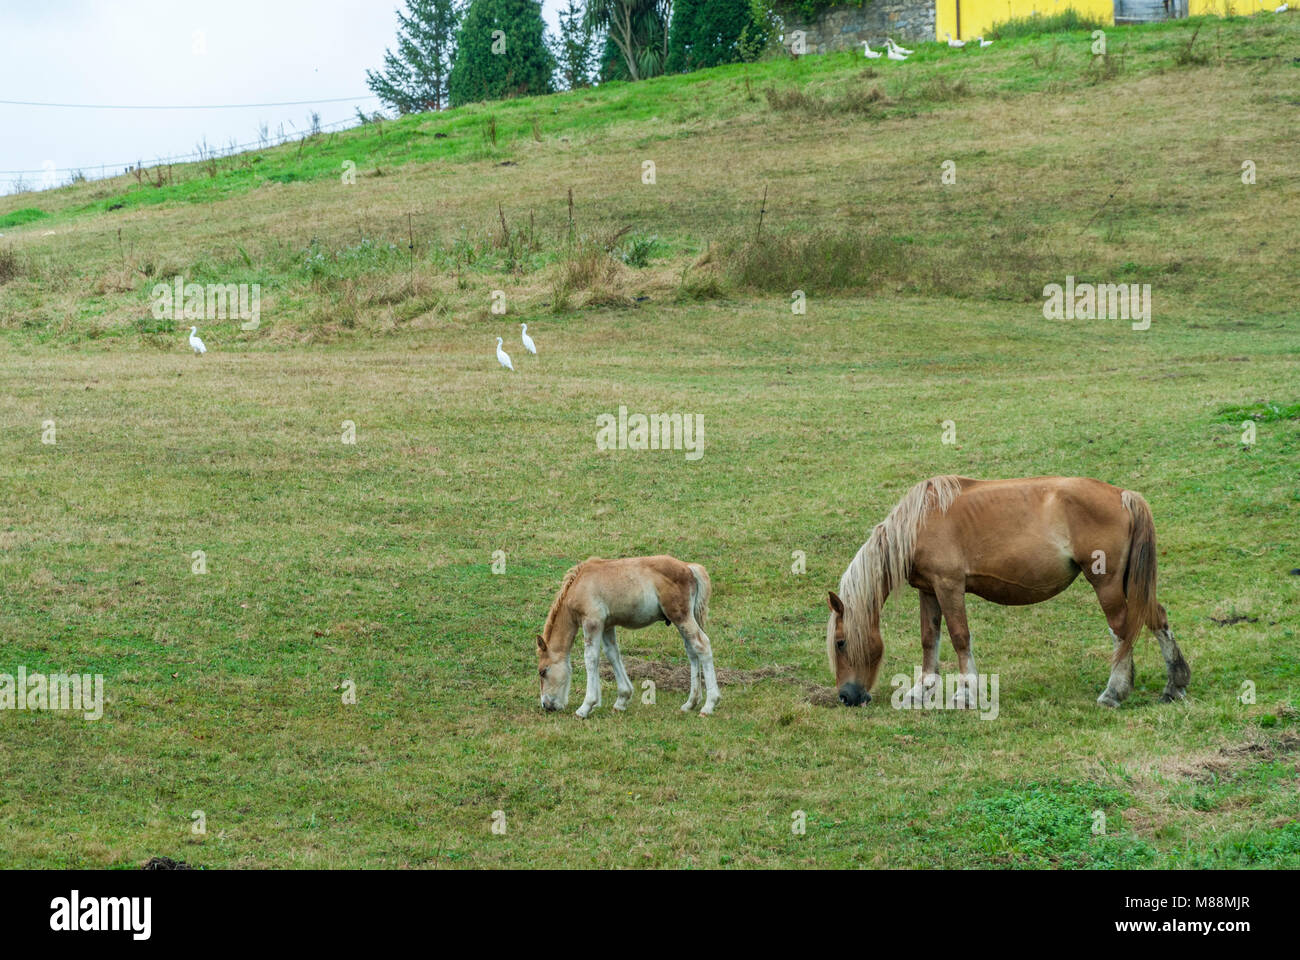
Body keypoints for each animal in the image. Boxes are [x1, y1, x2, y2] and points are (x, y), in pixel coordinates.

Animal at [536, 555, 719, 717]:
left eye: (543, 672)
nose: (546, 705)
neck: (579, 584)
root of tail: (688, 567)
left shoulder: (592, 622)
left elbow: (591, 658)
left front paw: (586, 707)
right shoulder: (607, 625)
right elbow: (612, 655)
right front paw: (621, 700)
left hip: (681, 616)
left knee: (702, 645)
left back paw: (709, 705)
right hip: (683, 619)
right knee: (692, 651)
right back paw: (690, 703)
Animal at [827, 475, 1190, 710]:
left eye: (841, 642)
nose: (846, 697)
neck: (920, 522)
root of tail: (1123, 495)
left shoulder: (949, 586)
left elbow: (959, 637)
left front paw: (966, 694)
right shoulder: (928, 590)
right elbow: (930, 639)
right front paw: (921, 690)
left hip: (1108, 583)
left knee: (1122, 631)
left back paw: (1114, 692)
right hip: (1130, 582)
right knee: (1156, 619)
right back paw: (1175, 684)